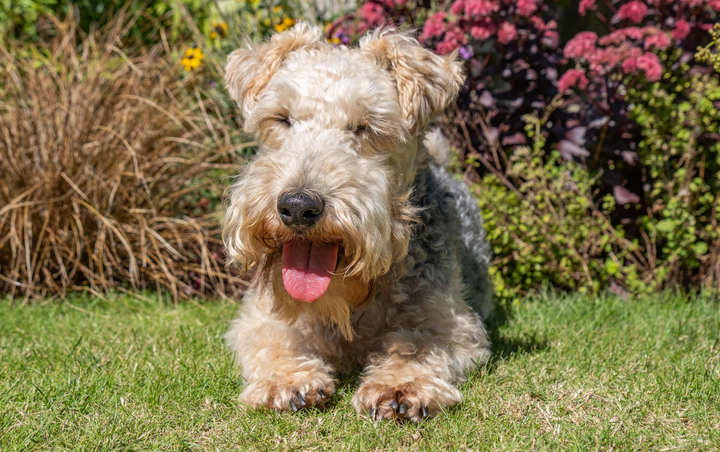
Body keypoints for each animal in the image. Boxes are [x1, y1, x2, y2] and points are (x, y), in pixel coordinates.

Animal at [222, 23, 492, 422]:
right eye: (282, 118)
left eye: (365, 126)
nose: (298, 206)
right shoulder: (259, 319)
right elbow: (272, 343)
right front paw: (287, 380)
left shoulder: (450, 324)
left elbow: (415, 345)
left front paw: (400, 384)